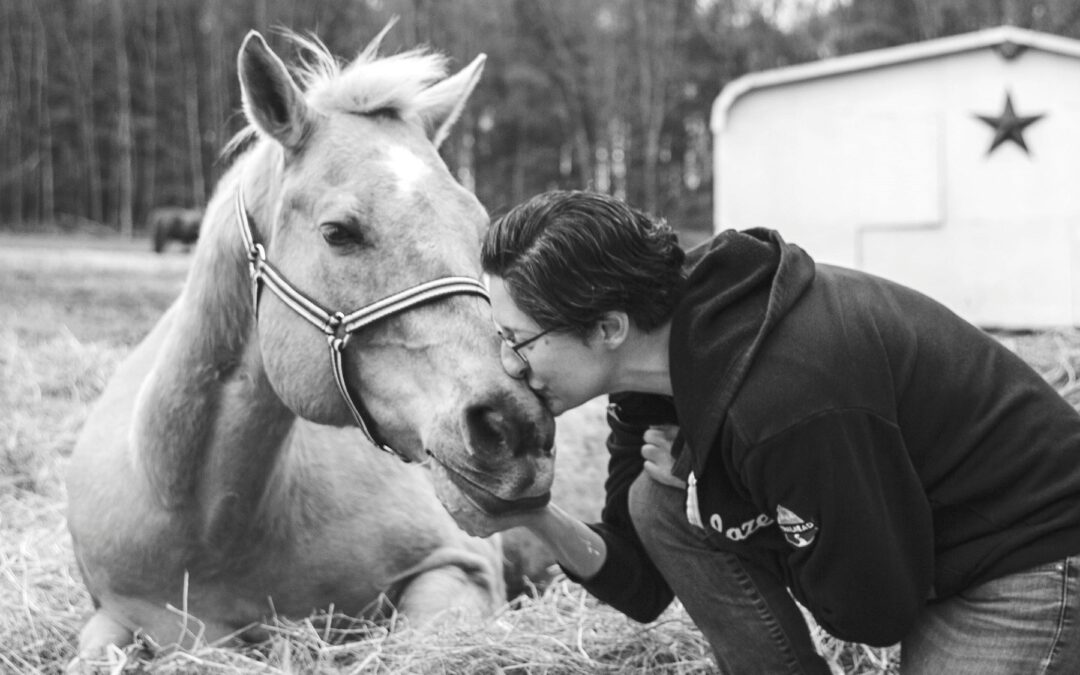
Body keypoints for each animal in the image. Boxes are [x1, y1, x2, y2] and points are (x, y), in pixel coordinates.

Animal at [65, 24, 557, 656]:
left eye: (479, 230)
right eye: (337, 232)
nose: (515, 427)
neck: (200, 519)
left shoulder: (458, 569)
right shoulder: (115, 615)